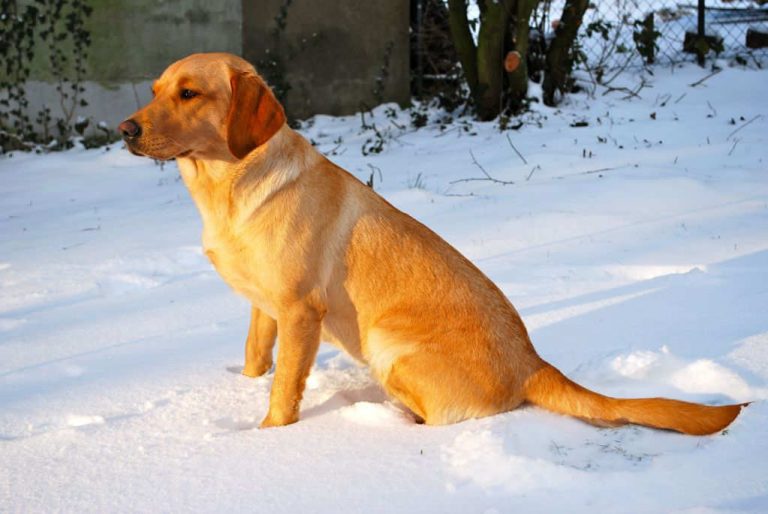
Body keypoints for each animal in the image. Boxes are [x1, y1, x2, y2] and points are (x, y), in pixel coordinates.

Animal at [118, 53, 744, 432]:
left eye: (190, 93)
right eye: (154, 90)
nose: (124, 129)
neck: (231, 185)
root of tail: (533, 365)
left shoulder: (300, 311)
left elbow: (284, 392)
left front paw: (269, 437)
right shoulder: (263, 308)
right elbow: (255, 363)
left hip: (387, 340)